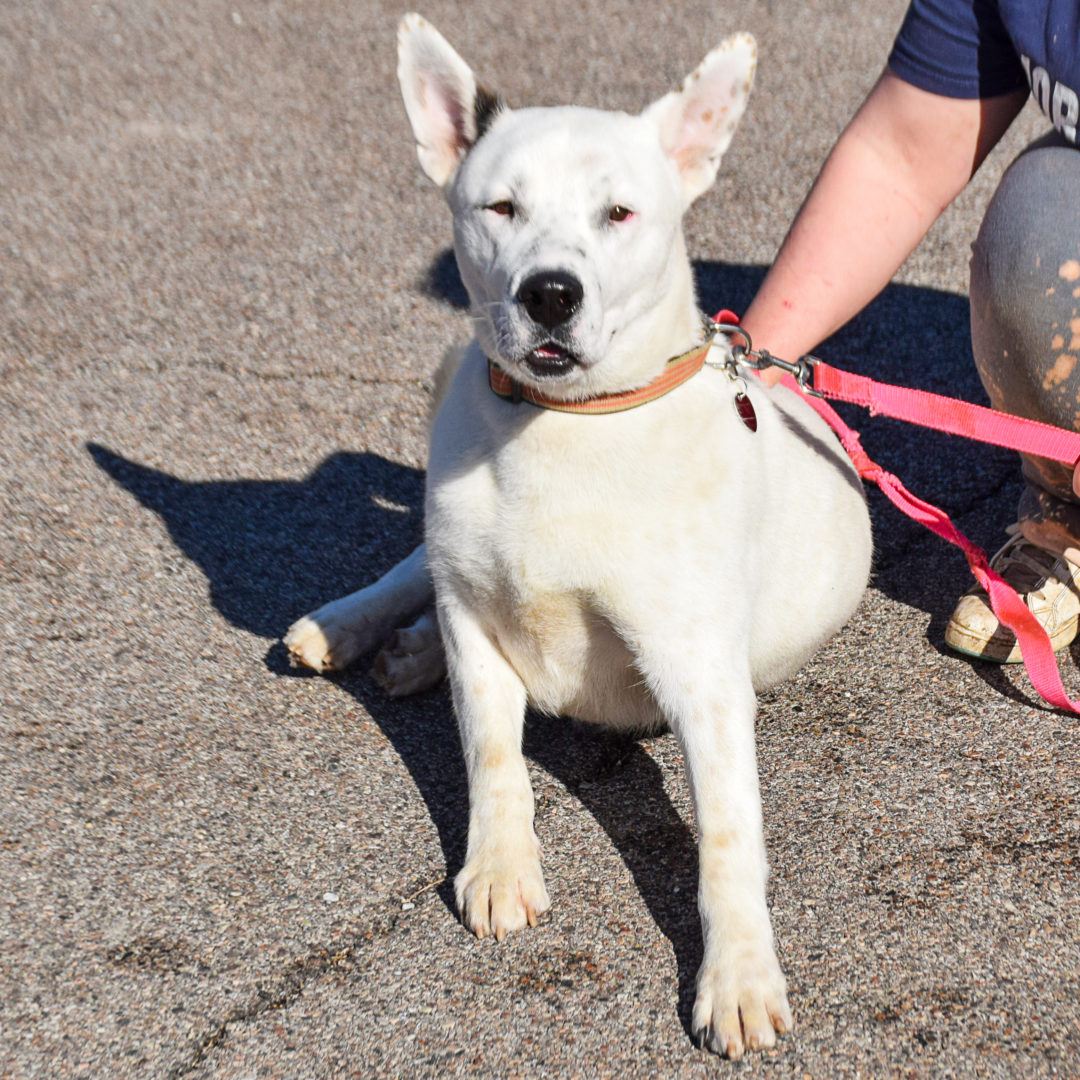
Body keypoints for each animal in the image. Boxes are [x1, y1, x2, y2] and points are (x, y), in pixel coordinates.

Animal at [285, 14, 868, 1062]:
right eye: (502, 207)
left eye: (619, 214)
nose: (549, 294)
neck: (566, 430)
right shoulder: (481, 626)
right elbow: (492, 757)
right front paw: (500, 864)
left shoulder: (702, 679)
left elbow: (728, 841)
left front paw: (738, 974)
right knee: (415, 564)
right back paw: (356, 628)